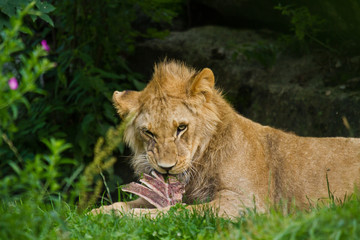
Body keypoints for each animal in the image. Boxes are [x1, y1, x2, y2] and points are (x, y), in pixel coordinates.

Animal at [91, 59, 360, 218]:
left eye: (181, 128)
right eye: (149, 132)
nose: (165, 168)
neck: (200, 165)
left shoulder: (246, 204)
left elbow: (175, 212)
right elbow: (131, 204)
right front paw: (99, 213)